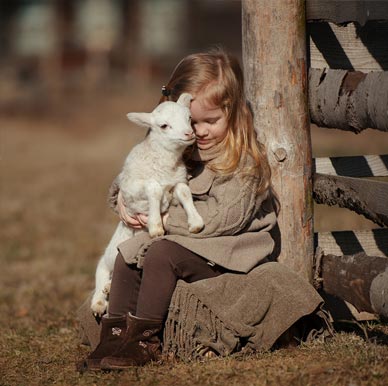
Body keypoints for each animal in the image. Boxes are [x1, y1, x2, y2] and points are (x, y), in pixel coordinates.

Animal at [90, 93, 203, 316]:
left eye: (189, 118)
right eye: (164, 125)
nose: (189, 134)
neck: (165, 164)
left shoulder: (177, 181)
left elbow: (184, 192)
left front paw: (195, 222)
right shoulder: (131, 190)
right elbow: (154, 188)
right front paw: (155, 226)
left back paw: (108, 289)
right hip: (109, 256)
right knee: (101, 271)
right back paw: (99, 301)